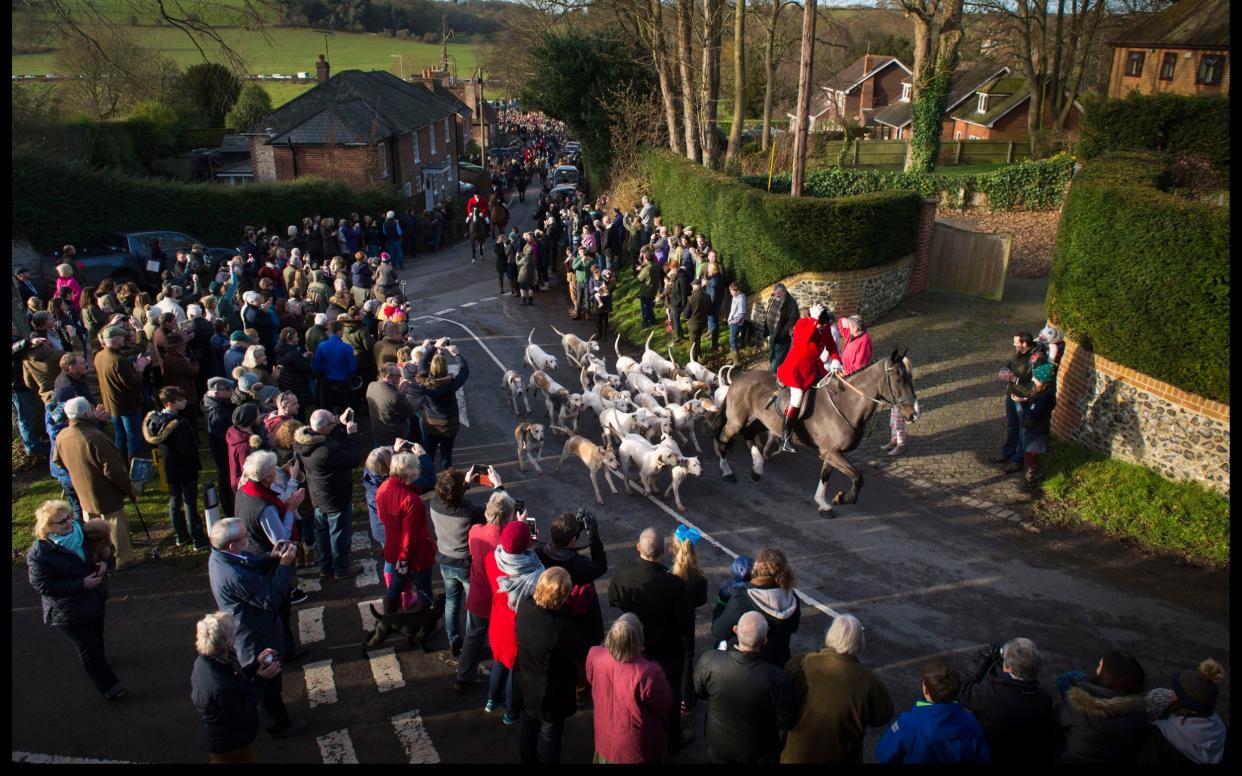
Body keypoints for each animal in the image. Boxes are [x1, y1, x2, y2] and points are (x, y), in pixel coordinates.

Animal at [715, 350, 919, 514]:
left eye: (910, 377)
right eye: (899, 379)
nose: (913, 414)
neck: (847, 404)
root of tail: (740, 378)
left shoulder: (832, 453)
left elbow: (826, 476)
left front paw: (823, 503)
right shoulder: (832, 453)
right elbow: (858, 478)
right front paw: (842, 498)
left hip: (763, 423)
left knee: (748, 434)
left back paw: (757, 467)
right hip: (737, 421)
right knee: (724, 438)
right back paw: (727, 472)